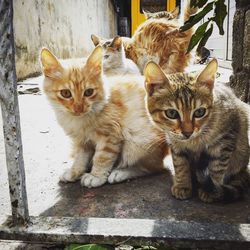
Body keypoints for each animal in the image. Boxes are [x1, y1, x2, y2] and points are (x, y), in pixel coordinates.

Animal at [40, 46, 167, 188]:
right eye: (66, 93)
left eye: (89, 92)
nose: (79, 108)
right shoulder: (81, 141)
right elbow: (80, 158)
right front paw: (74, 172)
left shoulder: (110, 136)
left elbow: (102, 157)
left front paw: (96, 176)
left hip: (139, 141)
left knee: (152, 168)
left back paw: (120, 173)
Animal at [144, 59, 249, 203]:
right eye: (171, 113)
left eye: (200, 112)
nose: (188, 132)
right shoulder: (175, 143)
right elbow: (180, 164)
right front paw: (182, 185)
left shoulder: (227, 138)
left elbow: (217, 166)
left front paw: (212, 189)